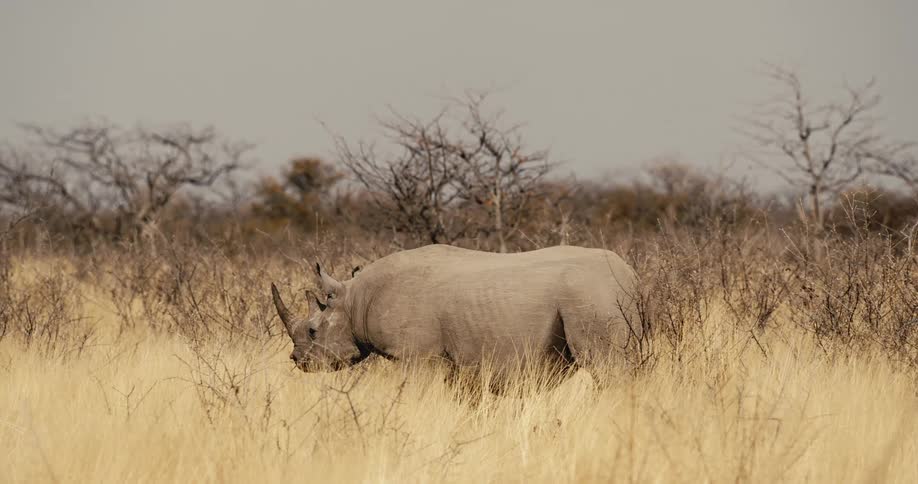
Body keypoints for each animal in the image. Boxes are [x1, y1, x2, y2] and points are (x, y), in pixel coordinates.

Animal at [271, 244, 641, 374]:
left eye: (313, 331)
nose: (297, 361)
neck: (355, 299)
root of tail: (632, 276)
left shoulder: (417, 356)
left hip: (591, 295)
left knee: (607, 368)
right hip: (605, 295)